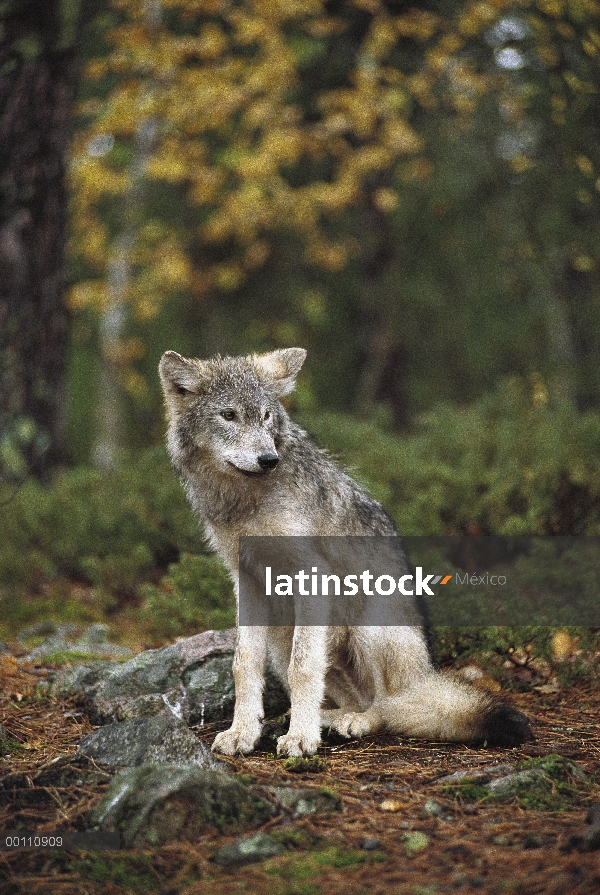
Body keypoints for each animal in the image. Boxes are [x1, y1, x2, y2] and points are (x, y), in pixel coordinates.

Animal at [158, 348, 528, 756]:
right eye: (229, 415)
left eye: (266, 416)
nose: (269, 459)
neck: (245, 503)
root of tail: (424, 676)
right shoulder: (248, 582)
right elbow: (243, 664)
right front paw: (243, 732)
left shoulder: (310, 575)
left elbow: (303, 667)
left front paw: (301, 740)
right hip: (281, 638)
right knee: (352, 697)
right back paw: (323, 719)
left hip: (368, 627)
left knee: (386, 706)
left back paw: (350, 722)